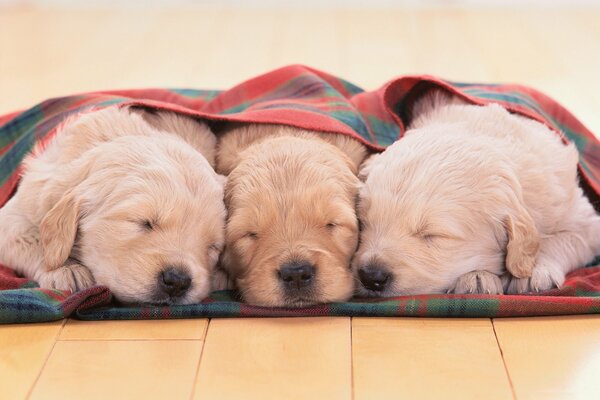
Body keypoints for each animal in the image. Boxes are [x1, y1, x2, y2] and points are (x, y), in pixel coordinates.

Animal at [0, 105, 227, 304]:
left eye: (212, 246)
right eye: (144, 223)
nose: (178, 281)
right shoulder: (17, 212)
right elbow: (35, 239)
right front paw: (66, 269)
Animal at [352, 91, 600, 296]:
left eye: (432, 235)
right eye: (363, 223)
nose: (371, 276)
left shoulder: (583, 221)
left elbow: (564, 238)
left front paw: (533, 271)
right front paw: (478, 276)